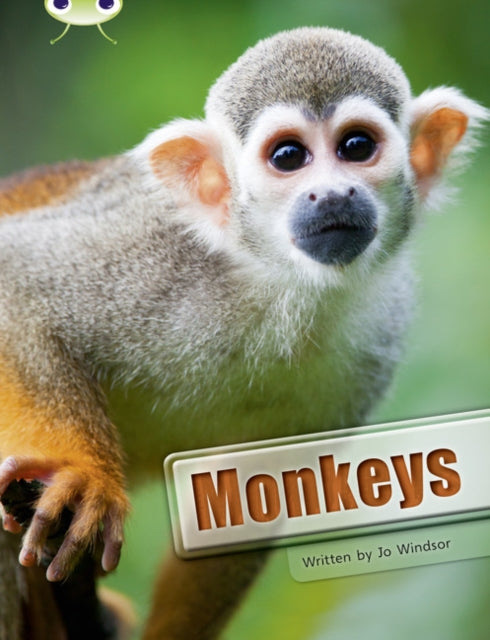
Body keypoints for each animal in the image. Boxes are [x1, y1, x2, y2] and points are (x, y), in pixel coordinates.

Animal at [0, 26, 487, 640]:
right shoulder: (152, 252)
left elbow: (254, 496)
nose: (333, 195)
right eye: (289, 157)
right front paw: (84, 478)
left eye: (356, 147)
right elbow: (17, 280)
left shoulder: (380, 333)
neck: (280, 285)